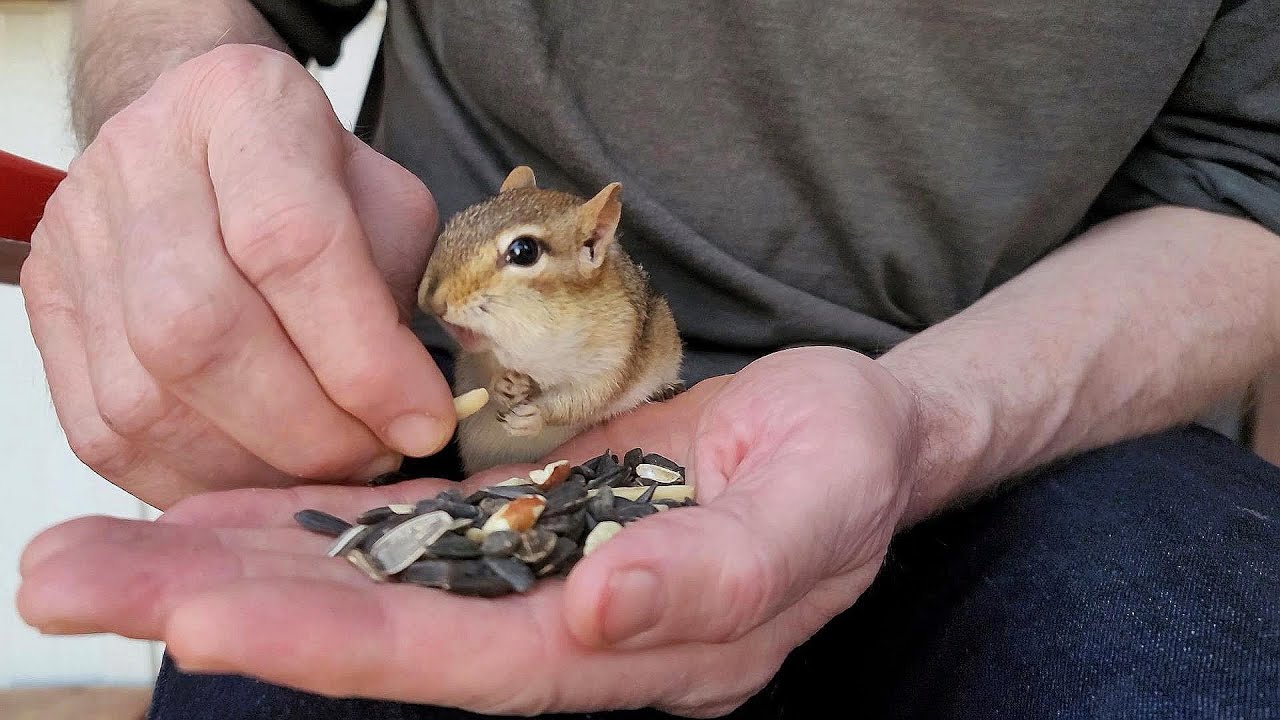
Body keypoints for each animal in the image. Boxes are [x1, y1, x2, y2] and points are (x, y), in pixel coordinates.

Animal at [417, 166, 685, 476]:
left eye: (524, 251)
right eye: (456, 222)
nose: (431, 300)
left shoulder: (615, 356)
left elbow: (586, 398)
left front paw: (535, 415)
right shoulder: (478, 355)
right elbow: (485, 370)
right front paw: (503, 385)